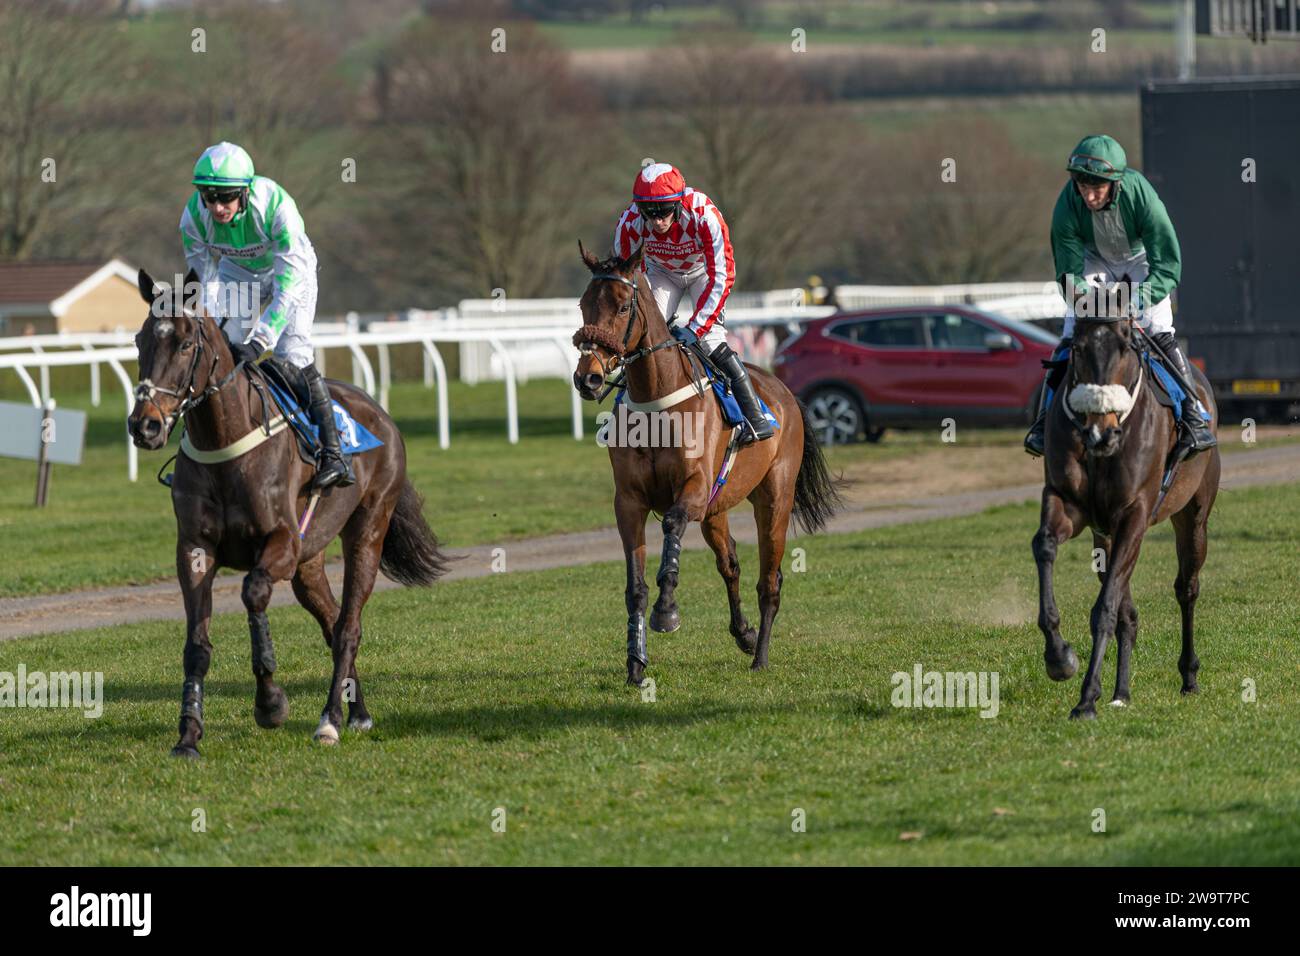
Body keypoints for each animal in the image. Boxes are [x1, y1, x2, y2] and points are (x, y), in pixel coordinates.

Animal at [126, 269, 449, 754]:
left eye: (184, 343)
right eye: (140, 340)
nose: (144, 424)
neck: (226, 442)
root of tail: (380, 414)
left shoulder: (280, 541)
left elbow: (253, 593)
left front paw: (270, 703)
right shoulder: (194, 549)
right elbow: (196, 645)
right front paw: (188, 735)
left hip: (367, 530)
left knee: (349, 627)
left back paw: (330, 720)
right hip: (308, 561)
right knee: (333, 624)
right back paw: (357, 712)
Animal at [572, 243, 837, 686]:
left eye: (624, 306)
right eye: (582, 305)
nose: (587, 378)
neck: (658, 406)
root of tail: (783, 389)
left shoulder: (693, 489)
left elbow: (672, 527)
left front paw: (667, 610)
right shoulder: (629, 502)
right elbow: (635, 587)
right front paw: (635, 663)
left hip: (774, 500)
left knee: (770, 581)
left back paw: (760, 656)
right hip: (717, 509)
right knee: (730, 565)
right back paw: (745, 634)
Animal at [1034, 310, 1216, 723]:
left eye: (1126, 349)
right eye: (1078, 350)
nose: (1100, 433)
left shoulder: (1135, 514)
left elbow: (1105, 608)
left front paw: (1086, 698)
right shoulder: (1067, 502)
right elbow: (1045, 546)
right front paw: (1059, 657)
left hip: (1193, 516)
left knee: (1186, 588)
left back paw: (1189, 677)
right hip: (1105, 535)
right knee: (1127, 612)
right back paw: (1121, 692)